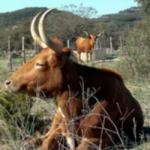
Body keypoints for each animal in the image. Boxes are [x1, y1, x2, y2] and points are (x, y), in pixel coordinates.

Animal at [4, 8, 143, 149]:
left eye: (40, 63)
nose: (8, 82)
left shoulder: (98, 139)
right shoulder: (60, 132)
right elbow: (46, 143)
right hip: (56, 120)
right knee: (43, 136)